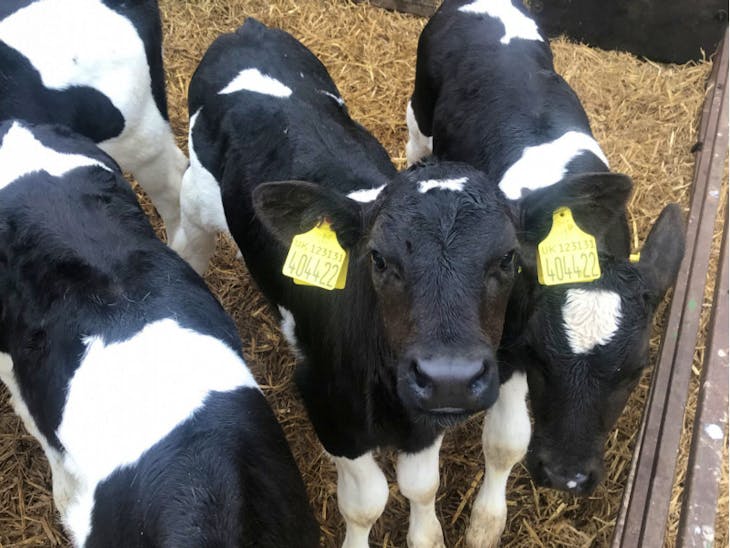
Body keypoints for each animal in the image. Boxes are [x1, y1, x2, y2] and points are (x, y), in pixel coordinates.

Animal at [172, 18, 636, 548]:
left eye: (507, 259)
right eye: (378, 259)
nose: (450, 376)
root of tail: (246, 29)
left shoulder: (426, 418)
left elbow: (421, 486)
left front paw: (427, 532)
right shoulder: (330, 407)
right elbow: (366, 503)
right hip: (195, 205)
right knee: (186, 244)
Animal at [407, 0, 685, 545]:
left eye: (637, 369)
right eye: (539, 354)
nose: (566, 476)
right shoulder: (506, 343)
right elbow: (507, 441)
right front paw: (485, 525)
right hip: (420, 108)